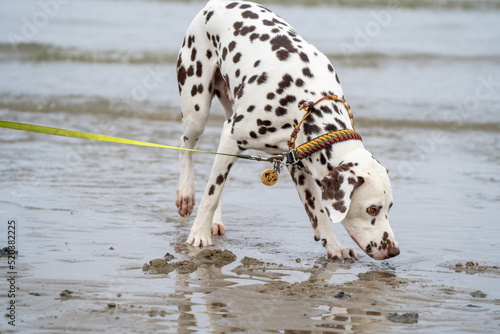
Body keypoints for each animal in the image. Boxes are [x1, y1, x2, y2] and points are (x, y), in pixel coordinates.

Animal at [176, 0, 398, 260]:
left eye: (389, 207)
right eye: (372, 209)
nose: (394, 251)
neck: (304, 102)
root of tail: (214, 4)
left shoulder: (298, 163)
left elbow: (318, 213)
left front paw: (334, 247)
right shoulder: (232, 138)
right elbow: (211, 194)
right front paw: (198, 235)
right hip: (196, 110)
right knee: (186, 147)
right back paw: (186, 195)